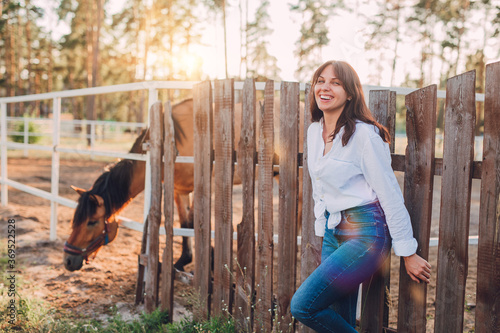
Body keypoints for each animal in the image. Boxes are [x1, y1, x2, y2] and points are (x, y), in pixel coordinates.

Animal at [63, 97, 304, 272]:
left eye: (92, 222)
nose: (67, 260)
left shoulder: (200, 187)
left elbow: (197, 222)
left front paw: (207, 263)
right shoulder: (180, 190)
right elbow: (186, 223)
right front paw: (183, 261)